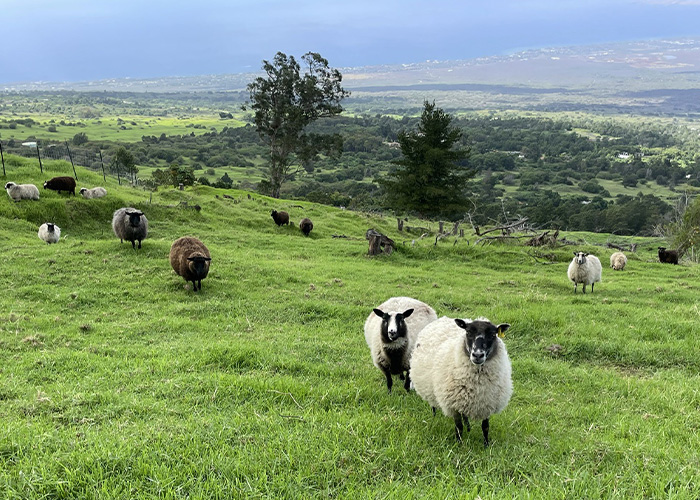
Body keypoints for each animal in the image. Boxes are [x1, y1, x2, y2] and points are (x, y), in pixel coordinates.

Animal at [410, 316, 512, 446]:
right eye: (468, 333)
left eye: (493, 335)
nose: (477, 355)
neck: (478, 382)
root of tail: (442, 318)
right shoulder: (454, 405)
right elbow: (459, 427)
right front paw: (459, 444)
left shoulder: (487, 402)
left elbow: (485, 427)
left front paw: (486, 445)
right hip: (429, 387)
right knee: (433, 405)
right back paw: (434, 417)